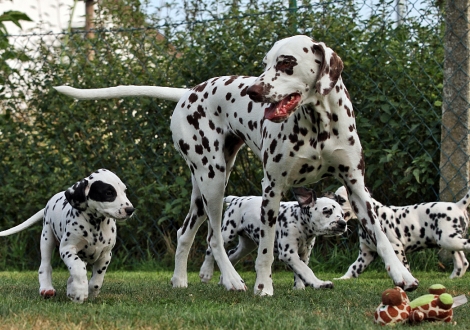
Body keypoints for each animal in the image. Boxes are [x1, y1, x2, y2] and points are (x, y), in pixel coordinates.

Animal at [0, 169, 136, 302]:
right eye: (108, 193)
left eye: (124, 191)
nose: (130, 210)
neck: (96, 224)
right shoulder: (67, 249)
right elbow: (78, 268)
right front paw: (80, 291)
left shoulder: (106, 255)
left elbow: (96, 280)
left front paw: (88, 292)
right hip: (46, 238)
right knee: (45, 266)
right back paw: (47, 289)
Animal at [198, 187, 346, 290]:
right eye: (327, 211)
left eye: (342, 214)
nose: (343, 223)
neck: (298, 221)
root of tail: (236, 199)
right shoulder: (288, 253)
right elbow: (306, 270)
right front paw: (319, 283)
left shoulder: (304, 254)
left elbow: (300, 271)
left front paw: (299, 287)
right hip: (227, 233)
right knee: (211, 246)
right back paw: (206, 272)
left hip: (246, 246)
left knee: (231, 255)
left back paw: (227, 279)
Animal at [334, 187, 470, 280]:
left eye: (340, 199)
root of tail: (458, 205)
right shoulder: (366, 254)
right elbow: (353, 267)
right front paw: (342, 279)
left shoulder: (396, 247)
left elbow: (403, 266)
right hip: (450, 243)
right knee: (462, 262)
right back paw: (452, 278)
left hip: (448, 240)